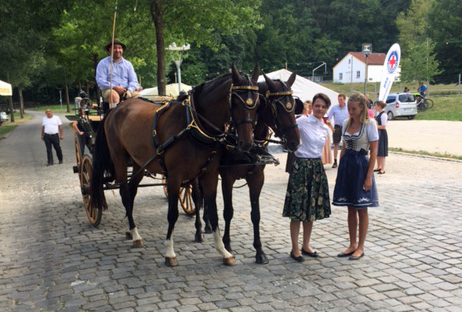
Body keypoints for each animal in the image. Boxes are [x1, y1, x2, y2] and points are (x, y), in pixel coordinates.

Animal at [90, 63, 262, 266]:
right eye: (235, 102)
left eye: (257, 104)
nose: (246, 143)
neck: (194, 124)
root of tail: (116, 109)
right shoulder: (174, 176)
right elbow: (172, 213)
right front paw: (170, 252)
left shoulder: (210, 175)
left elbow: (213, 212)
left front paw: (224, 251)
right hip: (120, 160)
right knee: (124, 192)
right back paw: (135, 234)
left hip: (140, 163)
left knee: (131, 192)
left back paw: (130, 229)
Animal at [196, 72, 302, 264]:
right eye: (277, 107)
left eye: (293, 105)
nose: (295, 142)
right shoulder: (228, 179)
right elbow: (228, 211)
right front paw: (227, 245)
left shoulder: (257, 178)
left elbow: (256, 214)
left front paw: (259, 251)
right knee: (196, 196)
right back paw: (199, 230)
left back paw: (207, 224)